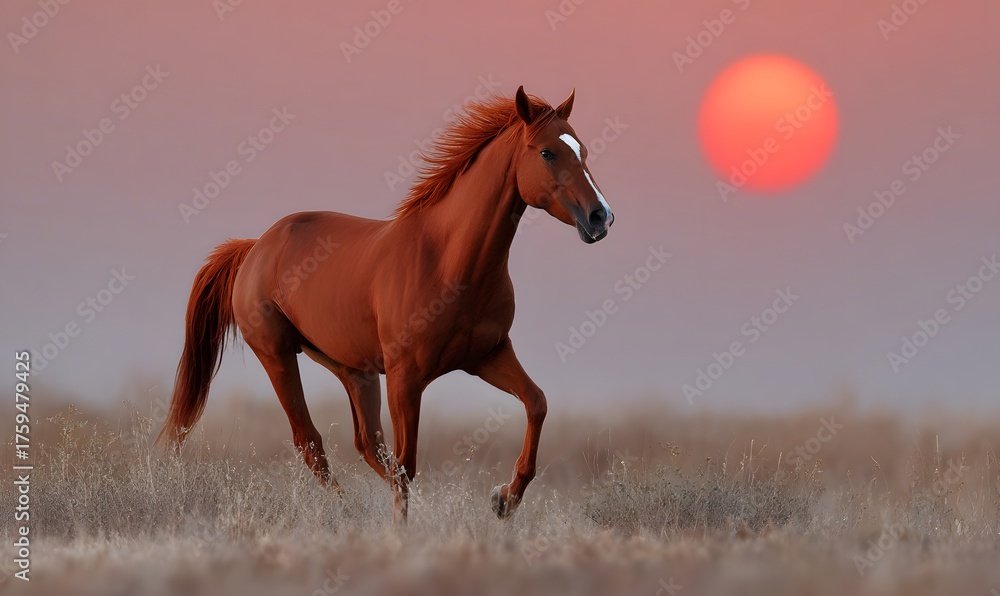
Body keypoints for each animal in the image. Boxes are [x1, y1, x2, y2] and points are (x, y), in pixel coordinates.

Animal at [157, 86, 614, 521]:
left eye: (583, 150)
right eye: (547, 152)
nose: (601, 217)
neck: (448, 262)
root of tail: (255, 246)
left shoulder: (488, 355)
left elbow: (536, 403)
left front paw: (504, 500)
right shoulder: (406, 377)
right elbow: (407, 464)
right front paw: (401, 531)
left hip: (353, 370)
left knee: (366, 445)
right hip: (279, 356)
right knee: (312, 443)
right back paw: (343, 514)